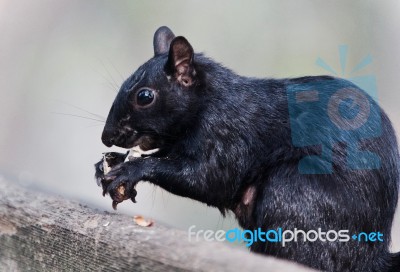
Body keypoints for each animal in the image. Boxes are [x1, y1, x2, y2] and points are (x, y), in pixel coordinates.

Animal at [96, 26, 400, 272]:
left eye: (145, 96)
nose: (106, 137)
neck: (209, 101)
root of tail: (369, 258)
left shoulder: (229, 134)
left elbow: (208, 179)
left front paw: (131, 169)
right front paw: (110, 162)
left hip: (293, 191)